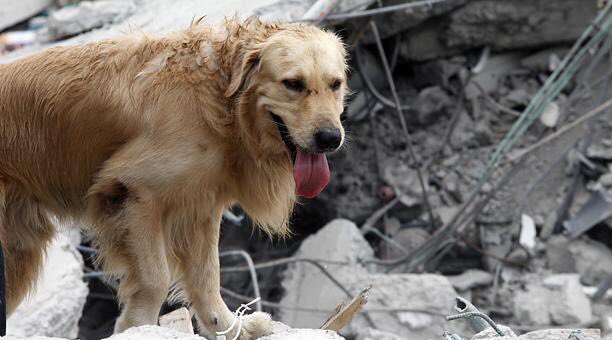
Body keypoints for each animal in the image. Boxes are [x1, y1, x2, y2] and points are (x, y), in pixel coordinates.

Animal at [0, 17, 344, 338]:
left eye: (336, 84)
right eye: (293, 84)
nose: (330, 138)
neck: (220, 100)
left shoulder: (200, 208)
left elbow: (207, 279)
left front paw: (233, 329)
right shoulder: (132, 194)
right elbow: (156, 279)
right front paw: (136, 328)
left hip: (19, 250)